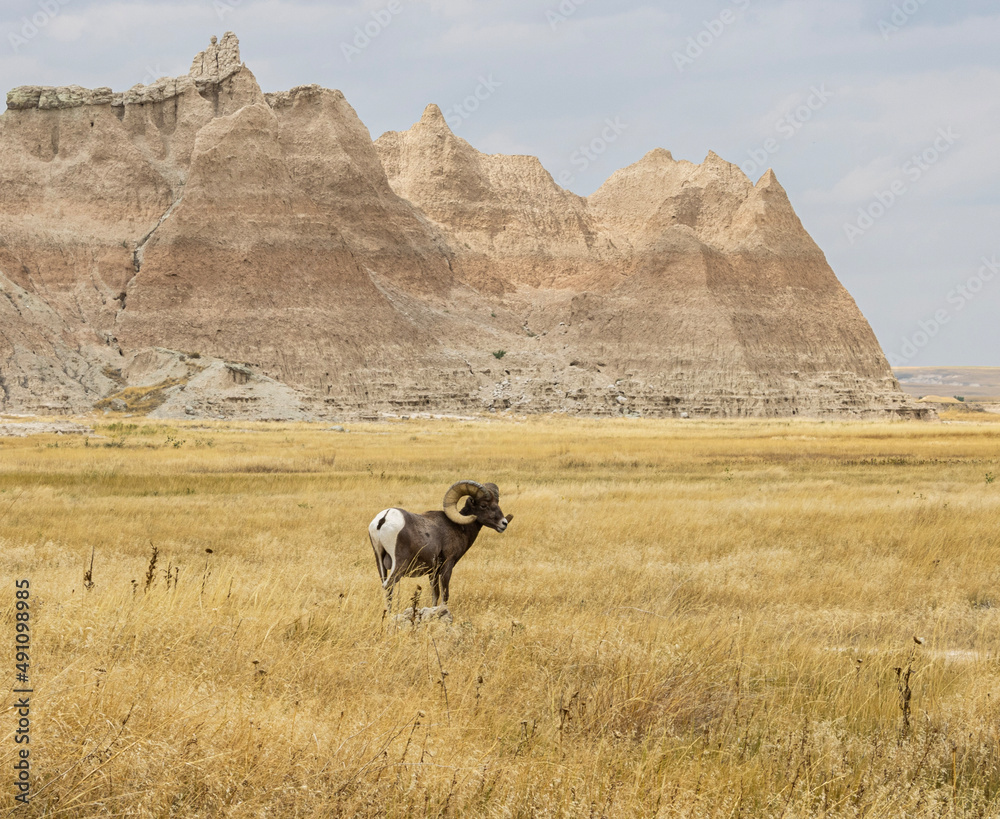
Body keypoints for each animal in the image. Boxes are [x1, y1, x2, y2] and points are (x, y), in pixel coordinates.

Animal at [368, 480, 512, 610]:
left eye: (496, 503)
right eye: (483, 505)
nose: (504, 523)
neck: (459, 528)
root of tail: (384, 519)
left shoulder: (432, 572)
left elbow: (435, 594)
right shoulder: (447, 565)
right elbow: (444, 594)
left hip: (379, 562)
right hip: (399, 564)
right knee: (389, 585)